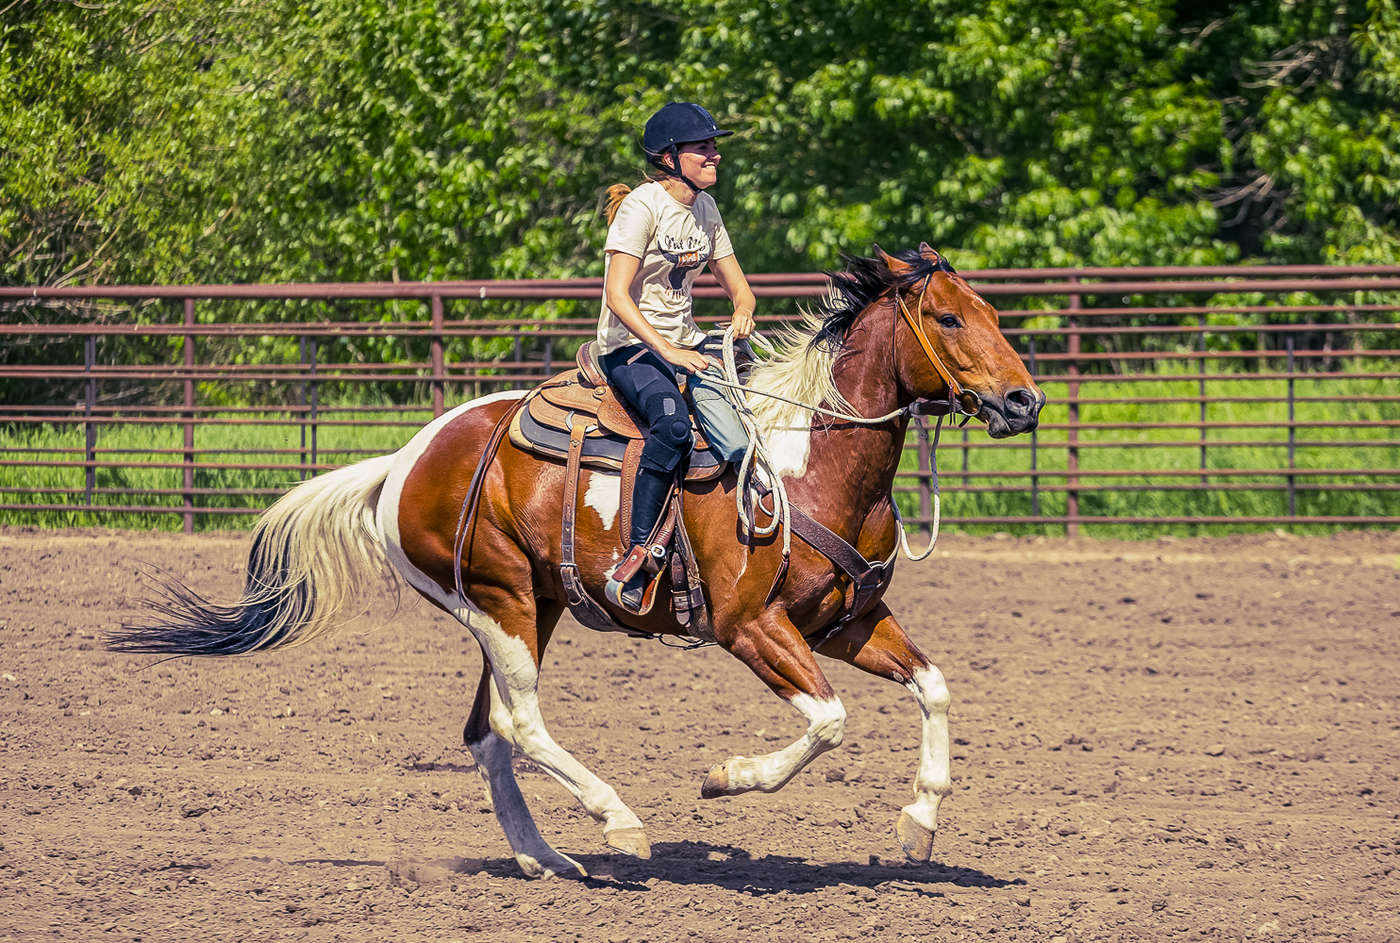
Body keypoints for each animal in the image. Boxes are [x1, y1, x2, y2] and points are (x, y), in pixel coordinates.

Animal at [110, 243, 1044, 879]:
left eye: (995, 313)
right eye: (951, 318)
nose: (1025, 400)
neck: (803, 461)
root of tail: (406, 458)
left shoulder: (846, 623)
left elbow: (933, 685)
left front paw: (920, 817)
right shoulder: (749, 627)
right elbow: (828, 721)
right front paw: (725, 778)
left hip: (533, 605)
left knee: (487, 734)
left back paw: (547, 858)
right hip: (501, 603)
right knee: (520, 722)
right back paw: (616, 820)